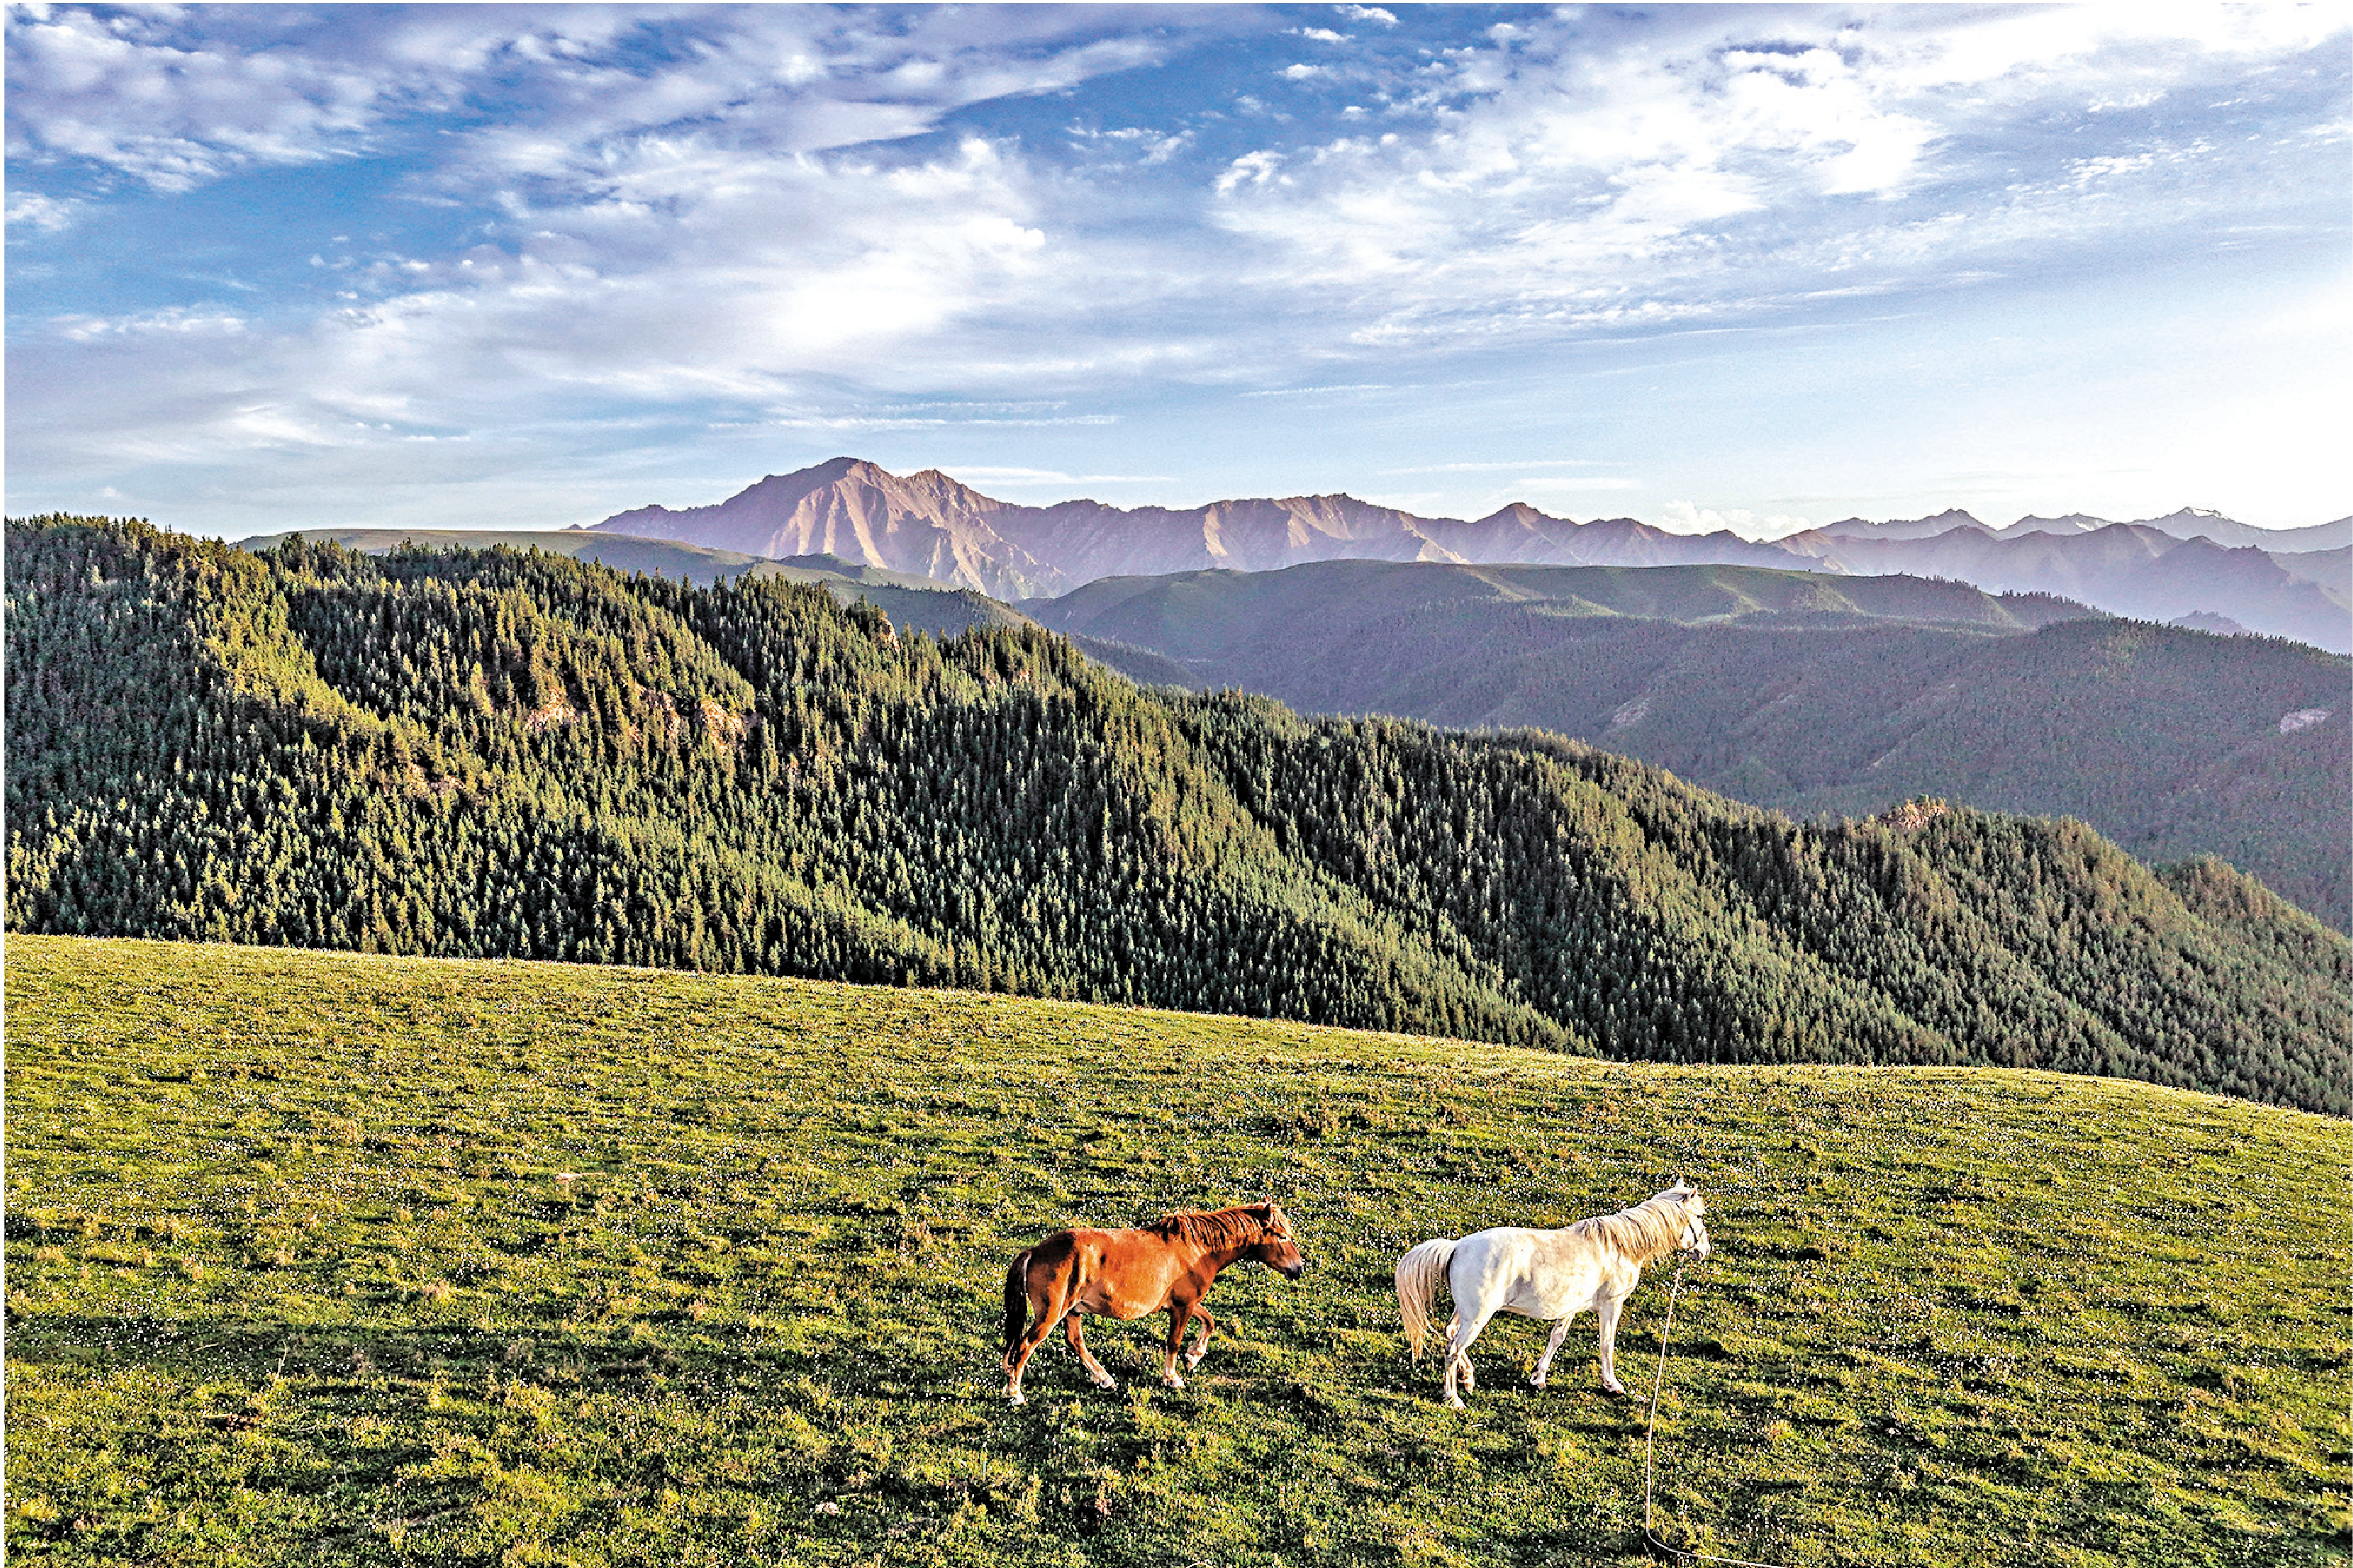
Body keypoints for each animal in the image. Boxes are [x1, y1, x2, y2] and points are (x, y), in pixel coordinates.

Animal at [1001, 1202, 1307, 1405]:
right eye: (1282, 1236)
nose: (1299, 1268)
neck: (1197, 1249)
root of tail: (1035, 1251)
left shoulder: (1184, 1304)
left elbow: (1209, 1321)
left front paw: (1193, 1357)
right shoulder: (1182, 1307)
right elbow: (1174, 1342)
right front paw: (1173, 1377)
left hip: (1072, 1311)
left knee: (1076, 1343)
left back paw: (1104, 1379)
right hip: (1051, 1314)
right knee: (1025, 1346)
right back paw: (1015, 1393)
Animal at [1394, 1182, 1710, 1408]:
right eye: (1699, 1217)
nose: (1704, 1251)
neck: (1619, 1247)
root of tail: (1458, 1247)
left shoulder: (1570, 1307)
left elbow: (1557, 1339)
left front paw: (1538, 1378)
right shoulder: (1611, 1306)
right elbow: (1607, 1344)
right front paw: (1612, 1385)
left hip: (1467, 1314)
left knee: (1450, 1335)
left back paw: (1468, 1379)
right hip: (1477, 1317)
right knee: (1453, 1349)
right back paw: (1454, 1398)